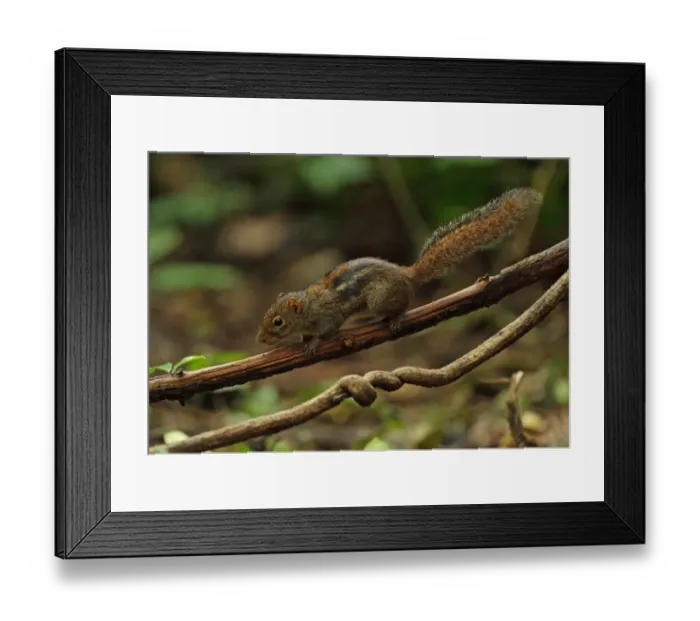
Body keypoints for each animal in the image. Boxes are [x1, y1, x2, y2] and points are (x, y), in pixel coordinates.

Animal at [256, 187, 542, 357]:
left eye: (278, 321)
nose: (259, 339)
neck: (309, 305)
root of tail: (406, 274)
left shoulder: (330, 315)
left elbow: (328, 329)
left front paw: (314, 342)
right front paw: (305, 339)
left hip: (379, 298)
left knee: (404, 303)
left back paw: (396, 317)